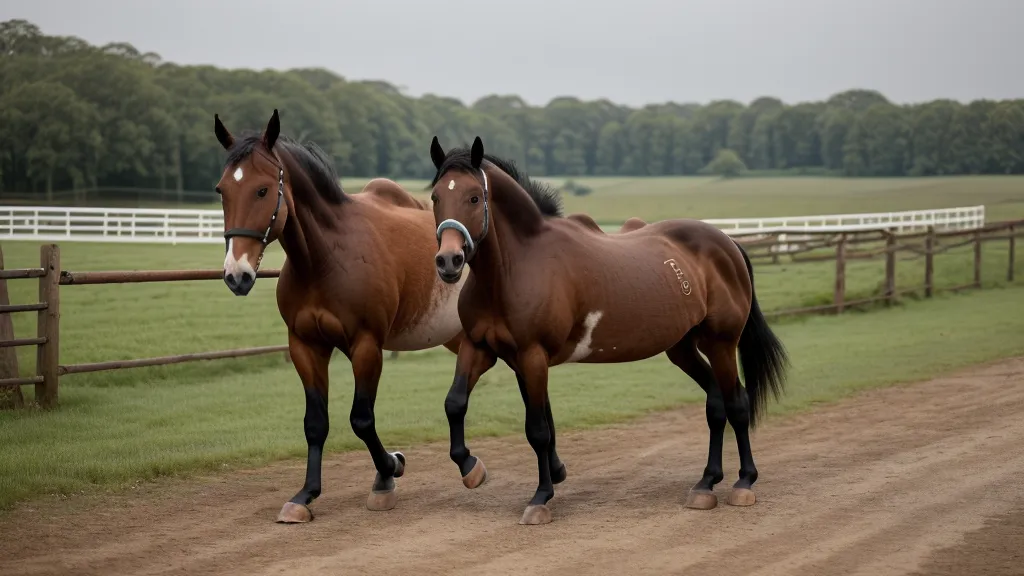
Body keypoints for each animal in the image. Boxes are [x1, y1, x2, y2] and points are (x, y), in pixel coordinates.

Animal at [212, 109, 467, 523]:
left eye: (263, 190)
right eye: (222, 190)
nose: (237, 274)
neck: (325, 259)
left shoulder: (366, 346)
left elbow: (361, 419)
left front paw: (389, 471)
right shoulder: (306, 346)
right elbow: (316, 423)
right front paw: (305, 495)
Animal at [427, 136, 790, 525]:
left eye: (474, 197)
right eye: (435, 197)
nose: (448, 261)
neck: (516, 267)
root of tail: (728, 244)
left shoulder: (532, 356)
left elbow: (537, 429)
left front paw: (541, 497)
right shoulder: (483, 349)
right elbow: (456, 403)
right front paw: (472, 468)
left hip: (721, 343)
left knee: (737, 403)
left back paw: (744, 482)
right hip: (682, 348)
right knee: (716, 403)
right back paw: (706, 483)